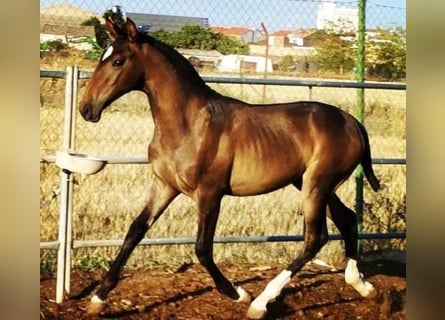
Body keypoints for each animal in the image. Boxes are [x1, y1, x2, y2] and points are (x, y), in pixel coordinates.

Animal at [79, 18, 378, 320]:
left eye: (117, 61)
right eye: (102, 56)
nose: (86, 108)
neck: (190, 124)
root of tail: (353, 122)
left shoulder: (210, 193)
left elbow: (202, 248)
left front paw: (237, 293)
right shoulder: (164, 186)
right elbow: (135, 231)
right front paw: (98, 298)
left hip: (317, 185)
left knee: (315, 238)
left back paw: (261, 303)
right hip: (311, 184)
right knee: (347, 219)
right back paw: (362, 285)